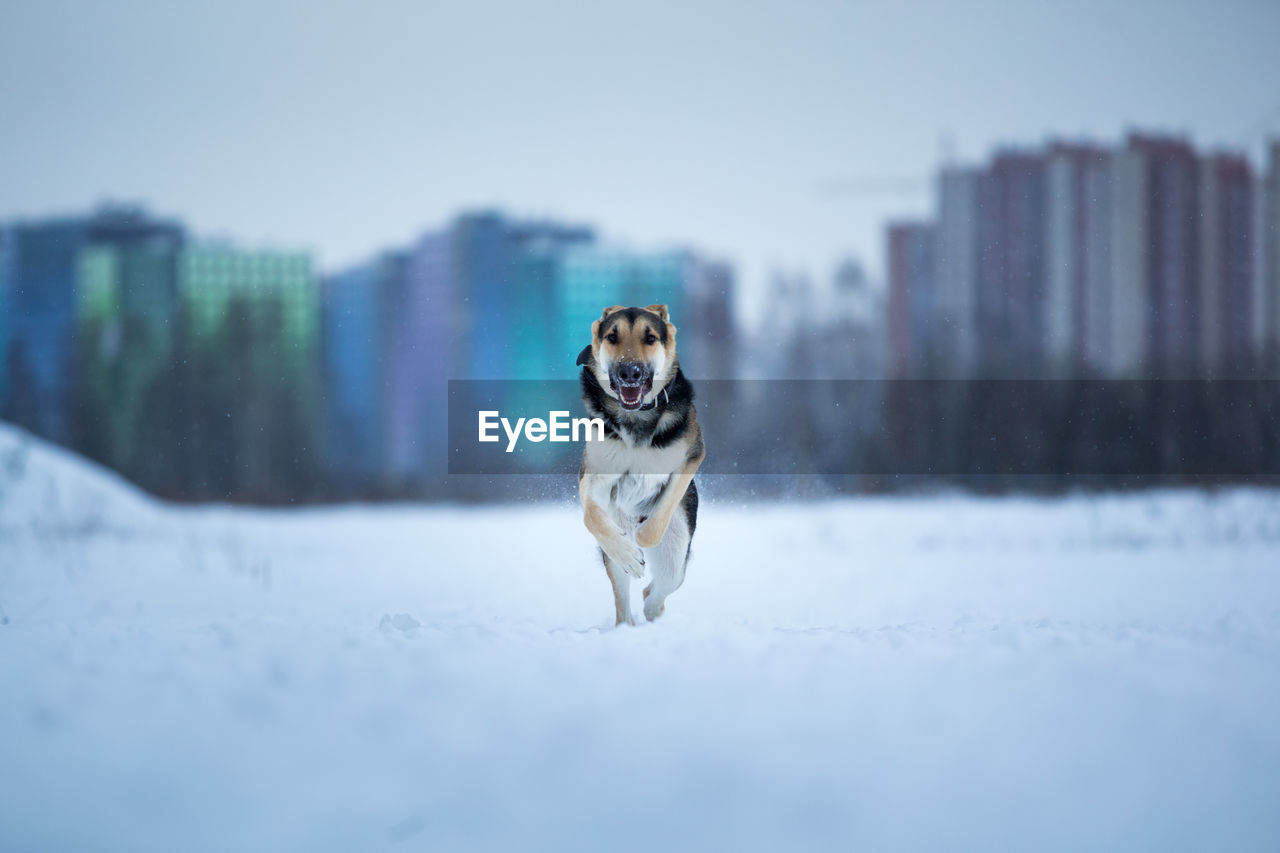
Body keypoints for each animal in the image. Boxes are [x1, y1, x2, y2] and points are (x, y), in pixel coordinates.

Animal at [578, 302, 706, 622]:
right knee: (624, 602)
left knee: (655, 592)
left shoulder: (692, 456)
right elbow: (591, 516)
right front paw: (630, 554)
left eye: (650, 338)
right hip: (614, 555)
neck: (636, 417)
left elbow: (658, 517)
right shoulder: (595, 474)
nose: (629, 372)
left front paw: (642, 536)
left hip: (676, 553)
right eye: (612, 336)